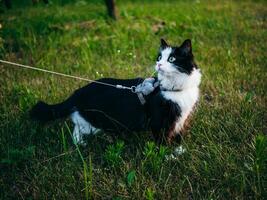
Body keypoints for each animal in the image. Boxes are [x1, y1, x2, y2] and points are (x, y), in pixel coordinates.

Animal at [30, 39, 202, 145]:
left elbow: (178, 135)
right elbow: (163, 140)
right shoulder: (160, 121)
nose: (158, 64)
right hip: (95, 121)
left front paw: (179, 150)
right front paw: (167, 157)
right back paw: (83, 143)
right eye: (159, 57)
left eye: (172, 59)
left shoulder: (181, 118)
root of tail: (78, 92)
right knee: (78, 127)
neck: (175, 89)